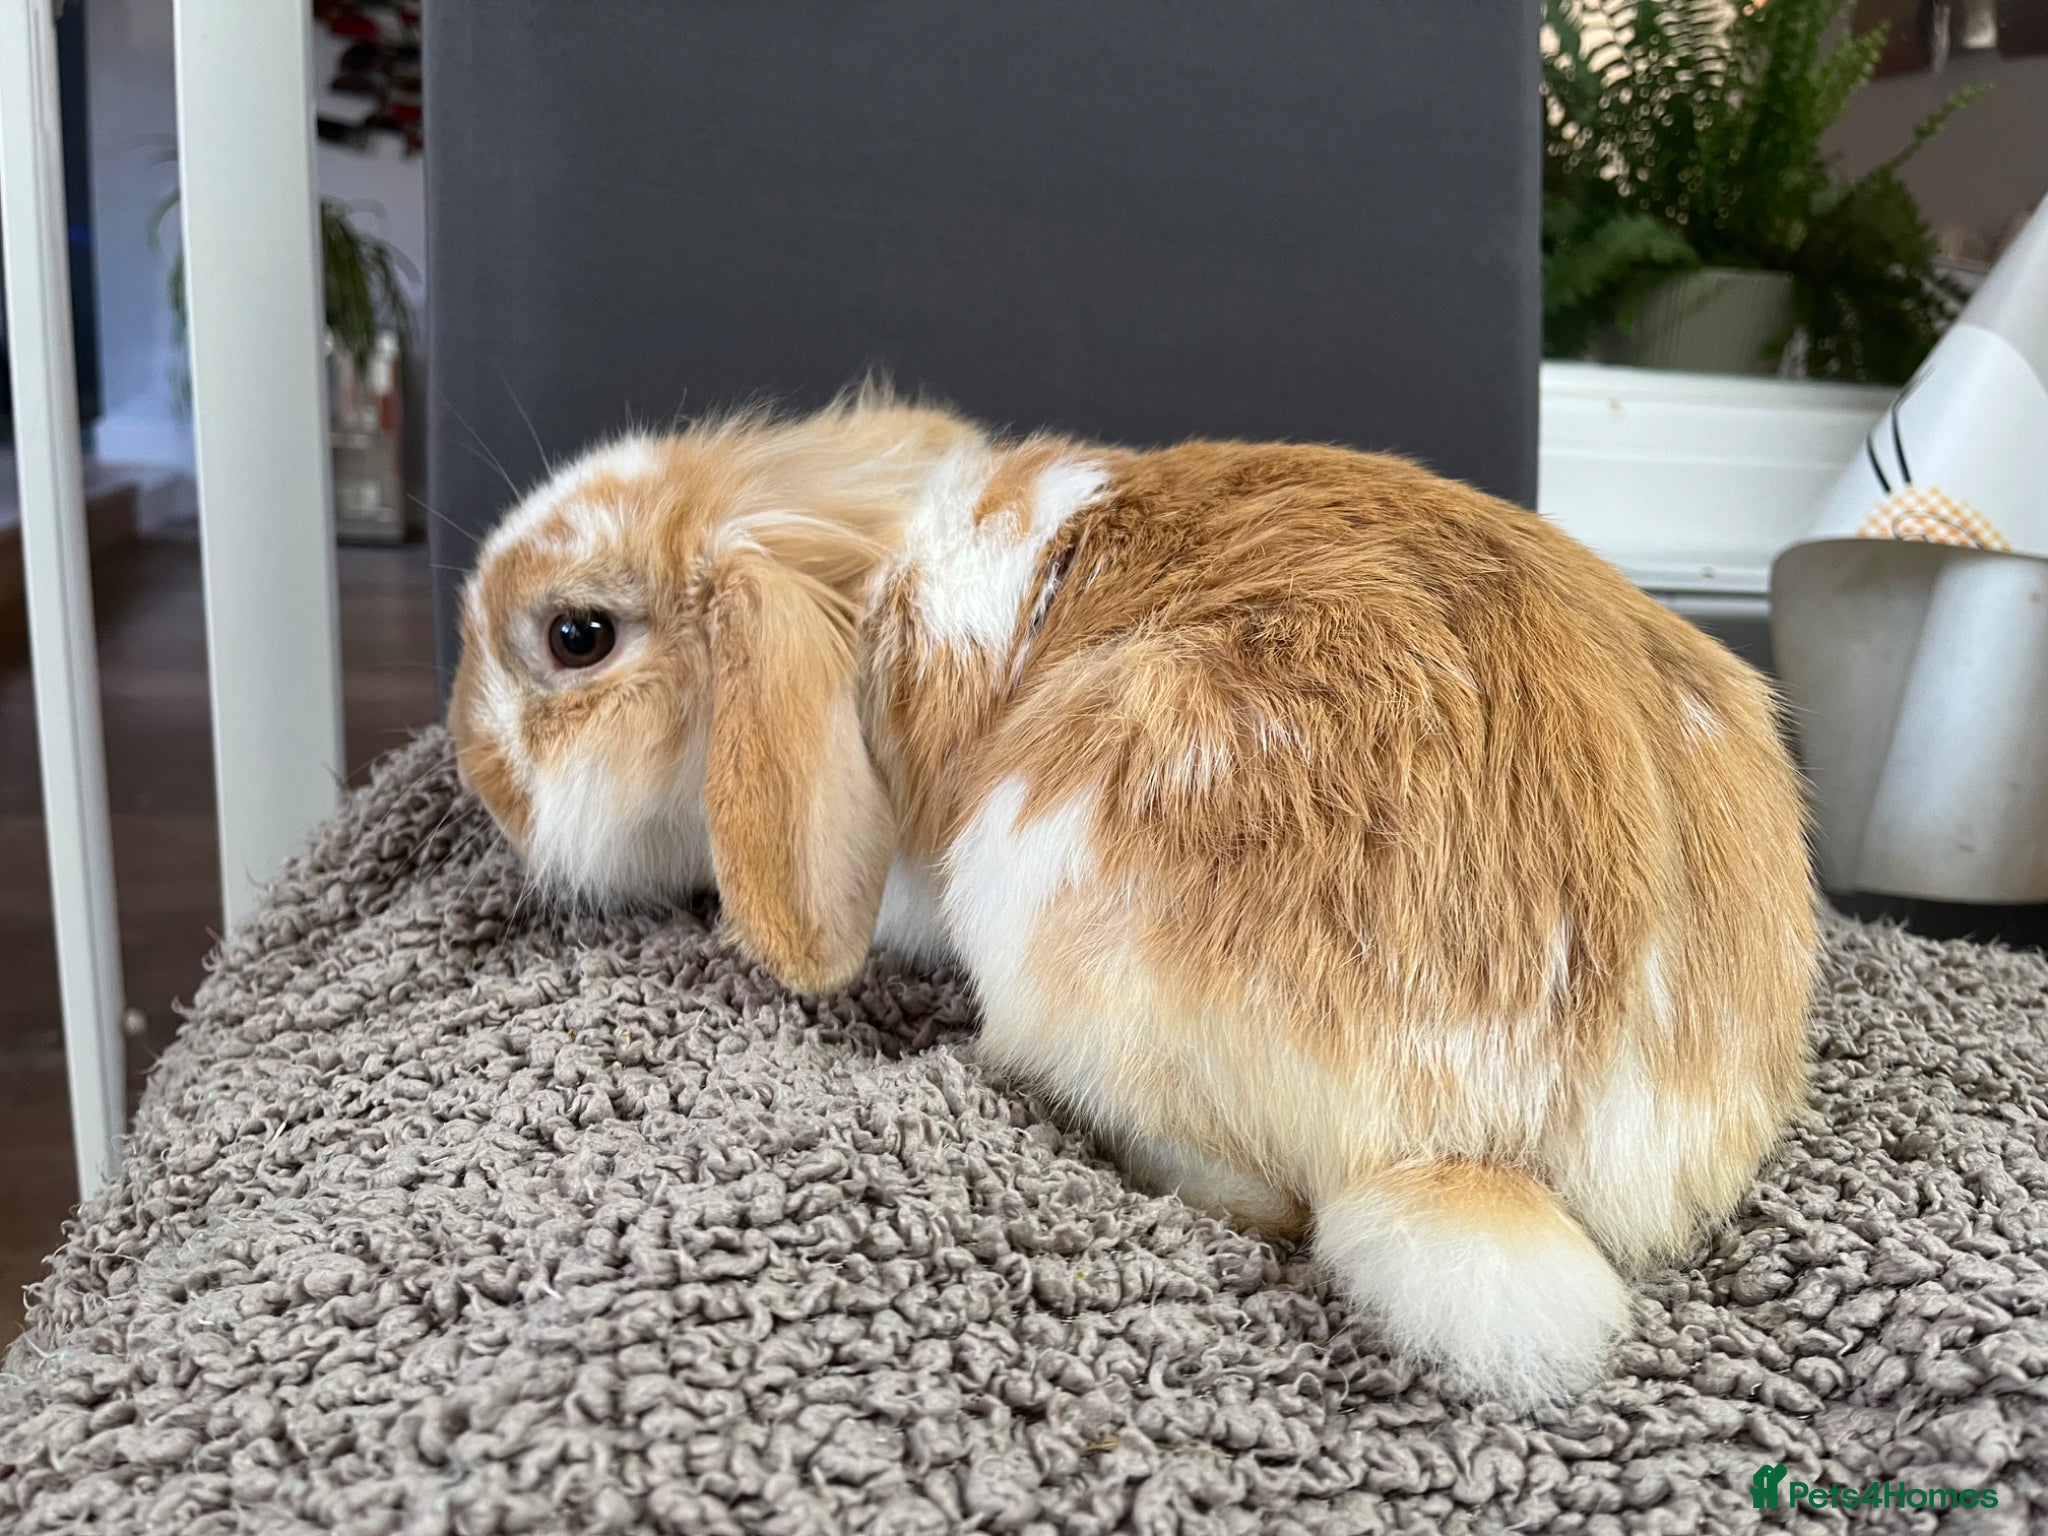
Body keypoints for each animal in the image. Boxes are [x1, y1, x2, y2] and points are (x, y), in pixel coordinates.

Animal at [450, 386, 1817, 1409]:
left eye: (576, 636)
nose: (474, 776)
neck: (869, 582)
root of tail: (1483, 1142)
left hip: (1060, 897)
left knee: (1258, 1196)